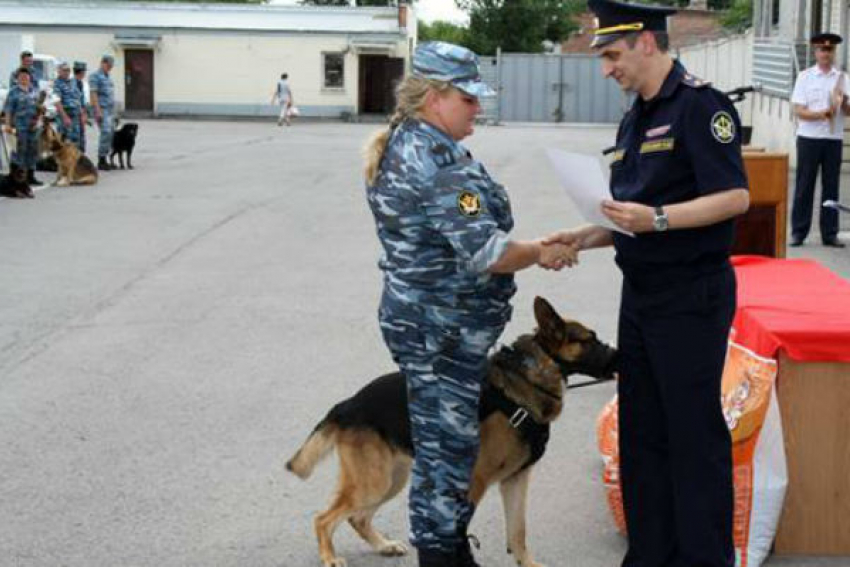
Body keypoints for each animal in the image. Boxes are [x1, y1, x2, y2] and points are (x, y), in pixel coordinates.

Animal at [286, 298, 616, 567]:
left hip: (392, 478)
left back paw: (383, 545)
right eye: (591, 340)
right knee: (324, 518)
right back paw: (329, 557)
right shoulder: (475, 482)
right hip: (375, 482)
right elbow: (458, 529)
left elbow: (518, 532)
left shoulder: (516, 480)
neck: (529, 376)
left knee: (357, 517)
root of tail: (349, 403)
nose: (618, 354)